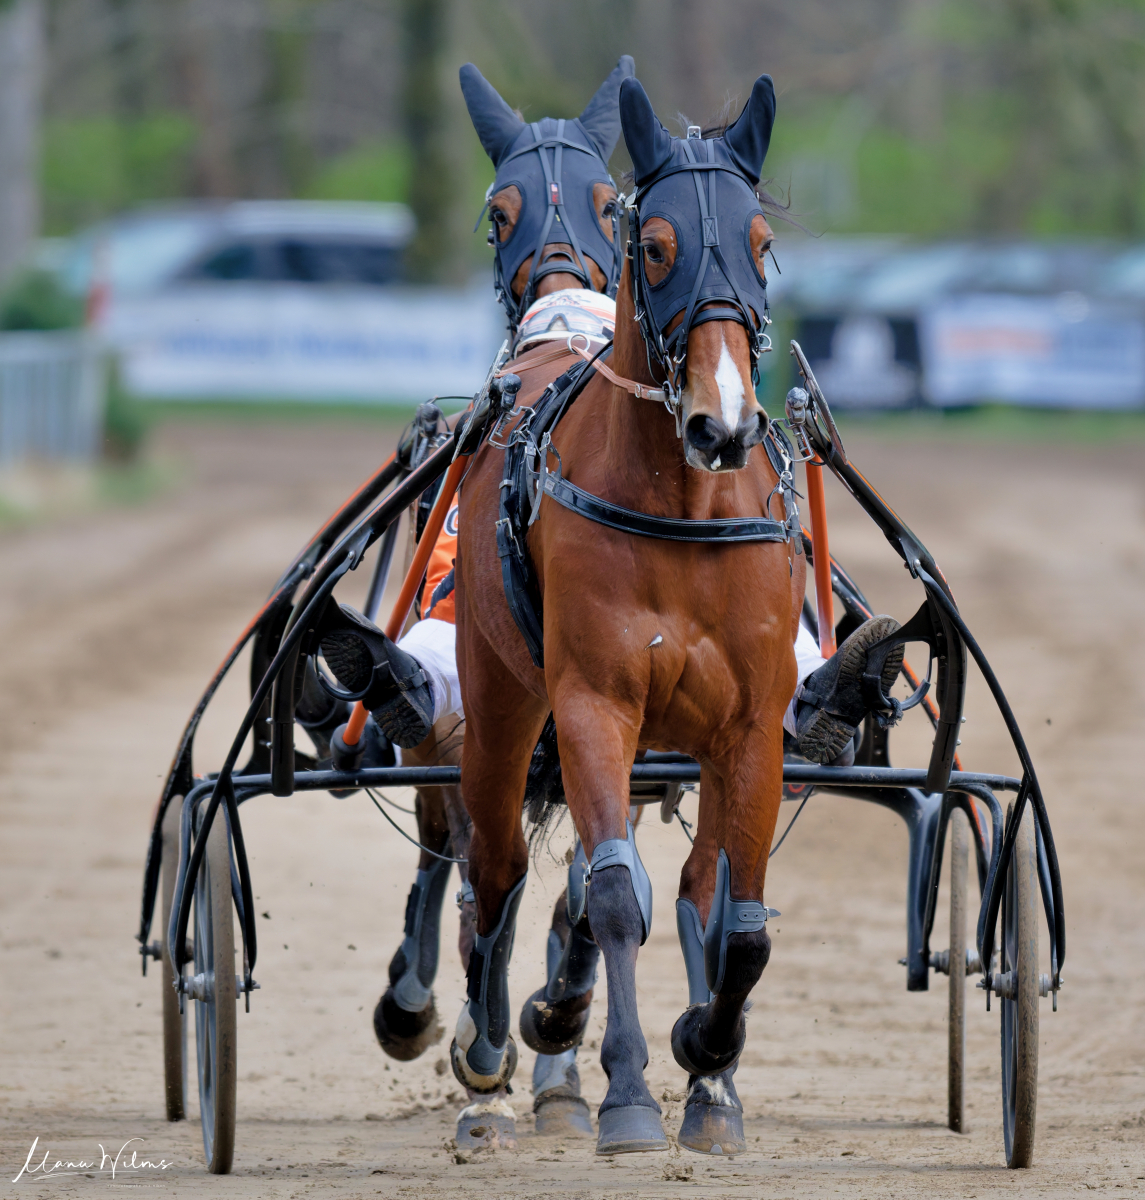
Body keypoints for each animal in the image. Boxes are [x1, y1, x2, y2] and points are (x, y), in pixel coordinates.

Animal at [448, 71, 803, 1157]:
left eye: (759, 242)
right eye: (653, 243)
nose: (722, 423)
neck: (681, 508)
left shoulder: (749, 727)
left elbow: (737, 921)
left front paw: (708, 1060)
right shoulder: (594, 704)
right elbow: (608, 894)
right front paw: (630, 1092)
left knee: (672, 887)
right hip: (502, 704)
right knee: (495, 870)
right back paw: (493, 1051)